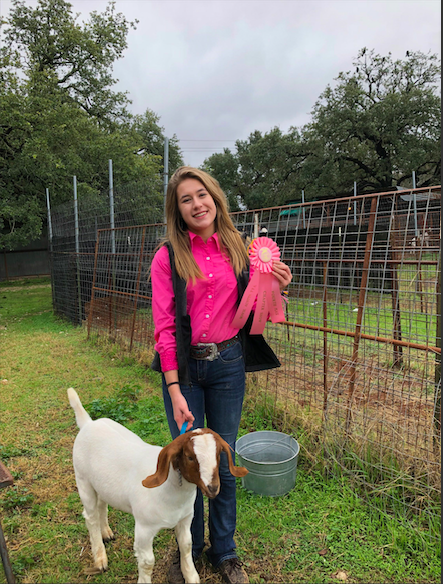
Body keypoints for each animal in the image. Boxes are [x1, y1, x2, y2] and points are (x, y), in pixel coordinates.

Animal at [67, 388, 248, 584]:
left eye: (218, 454)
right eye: (190, 457)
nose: (213, 488)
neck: (172, 490)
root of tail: (88, 423)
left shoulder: (185, 519)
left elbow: (186, 546)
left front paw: (191, 576)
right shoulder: (144, 528)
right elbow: (147, 562)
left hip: (100, 484)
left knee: (102, 504)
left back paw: (106, 532)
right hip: (83, 480)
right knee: (90, 516)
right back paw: (100, 559)